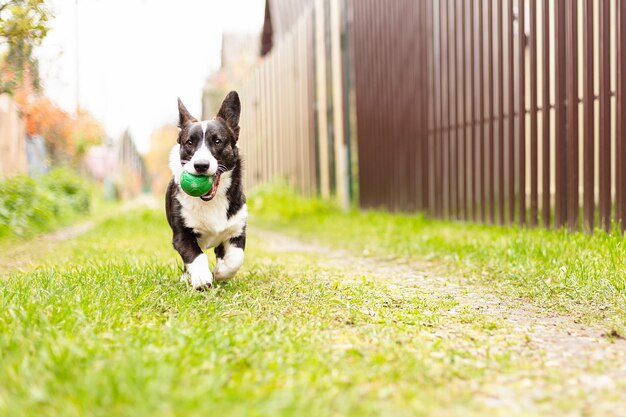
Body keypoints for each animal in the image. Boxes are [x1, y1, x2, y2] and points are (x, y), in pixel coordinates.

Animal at [165, 91, 245, 288]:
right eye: (189, 142)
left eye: (217, 141)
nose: (201, 165)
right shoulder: (182, 235)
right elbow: (195, 255)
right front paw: (201, 277)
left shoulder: (237, 231)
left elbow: (236, 258)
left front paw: (220, 272)